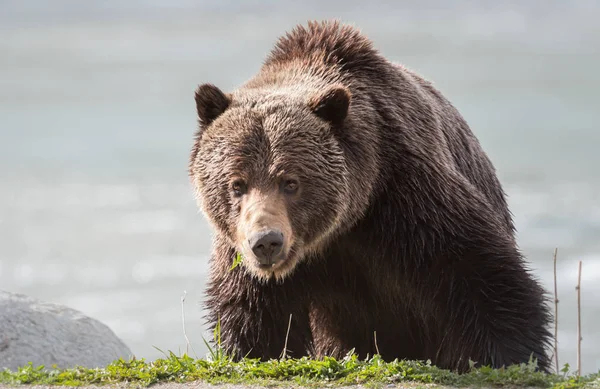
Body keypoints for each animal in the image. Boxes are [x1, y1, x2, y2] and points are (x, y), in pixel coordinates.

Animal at [189, 19, 552, 372]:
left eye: (290, 182)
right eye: (237, 184)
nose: (266, 242)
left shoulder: (408, 200)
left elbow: (480, 273)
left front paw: (512, 357)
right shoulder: (242, 251)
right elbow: (253, 312)